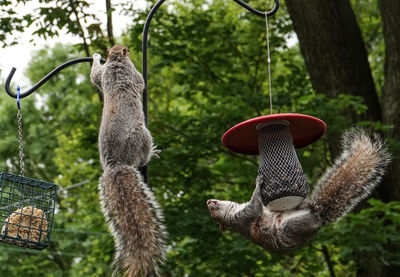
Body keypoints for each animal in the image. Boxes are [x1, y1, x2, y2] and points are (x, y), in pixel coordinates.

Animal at [90, 45, 166, 276]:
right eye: (129, 51)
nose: (126, 50)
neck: (116, 61)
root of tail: (115, 163)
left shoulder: (103, 75)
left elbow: (94, 76)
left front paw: (96, 57)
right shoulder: (133, 75)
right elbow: (141, 82)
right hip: (142, 136)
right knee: (142, 156)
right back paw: (152, 153)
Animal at [208, 128, 390, 251]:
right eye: (214, 217)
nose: (209, 201)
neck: (232, 213)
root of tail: (317, 214)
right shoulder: (244, 218)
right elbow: (254, 208)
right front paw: (258, 184)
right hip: (293, 225)